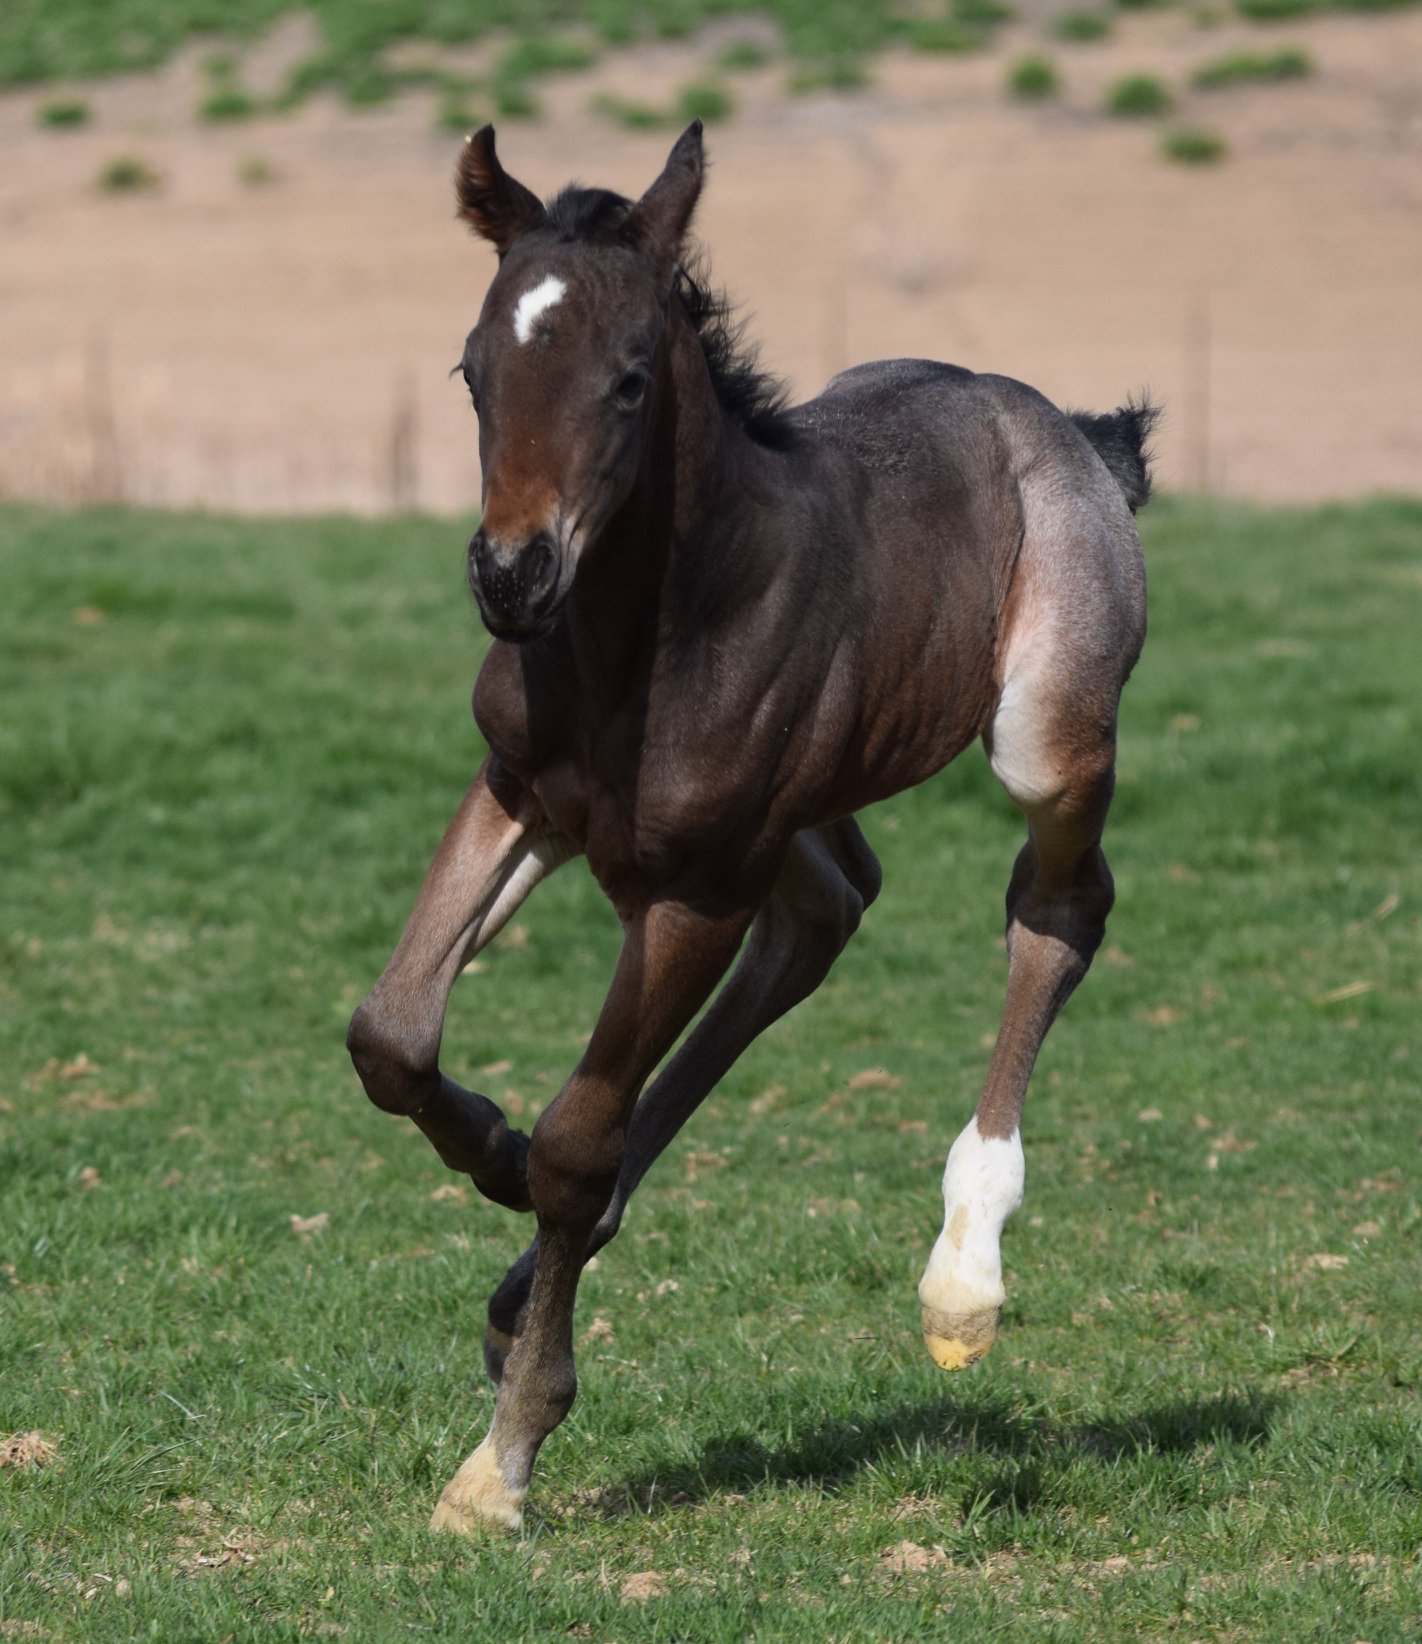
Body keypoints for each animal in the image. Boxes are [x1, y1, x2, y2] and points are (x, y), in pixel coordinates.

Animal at [346, 121, 1157, 1532]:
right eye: (472, 369)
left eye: (627, 382)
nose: (511, 577)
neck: (646, 641)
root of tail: (1060, 426)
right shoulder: (519, 791)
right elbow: (391, 1036)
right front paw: (492, 1148)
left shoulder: (698, 887)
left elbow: (581, 1139)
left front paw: (504, 1463)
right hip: (802, 803)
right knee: (830, 905)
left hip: (1044, 730)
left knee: (1057, 908)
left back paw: (965, 1272)